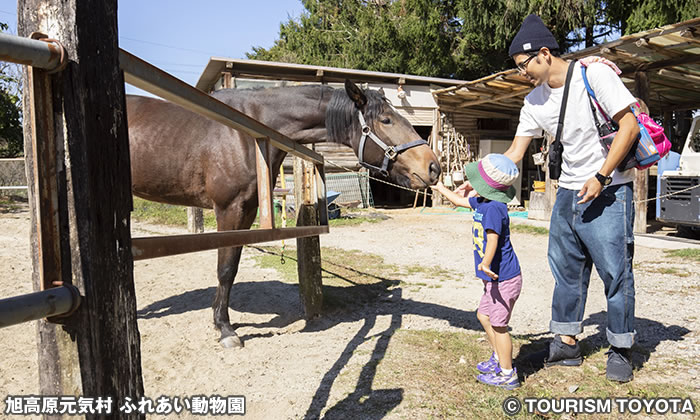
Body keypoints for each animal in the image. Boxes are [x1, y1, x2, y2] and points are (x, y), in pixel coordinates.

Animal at [126, 79, 440, 348]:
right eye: (386, 120)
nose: (433, 167)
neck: (246, 130)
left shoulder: (246, 211)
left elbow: (233, 267)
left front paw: (220, 322)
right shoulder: (229, 209)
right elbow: (225, 269)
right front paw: (225, 329)